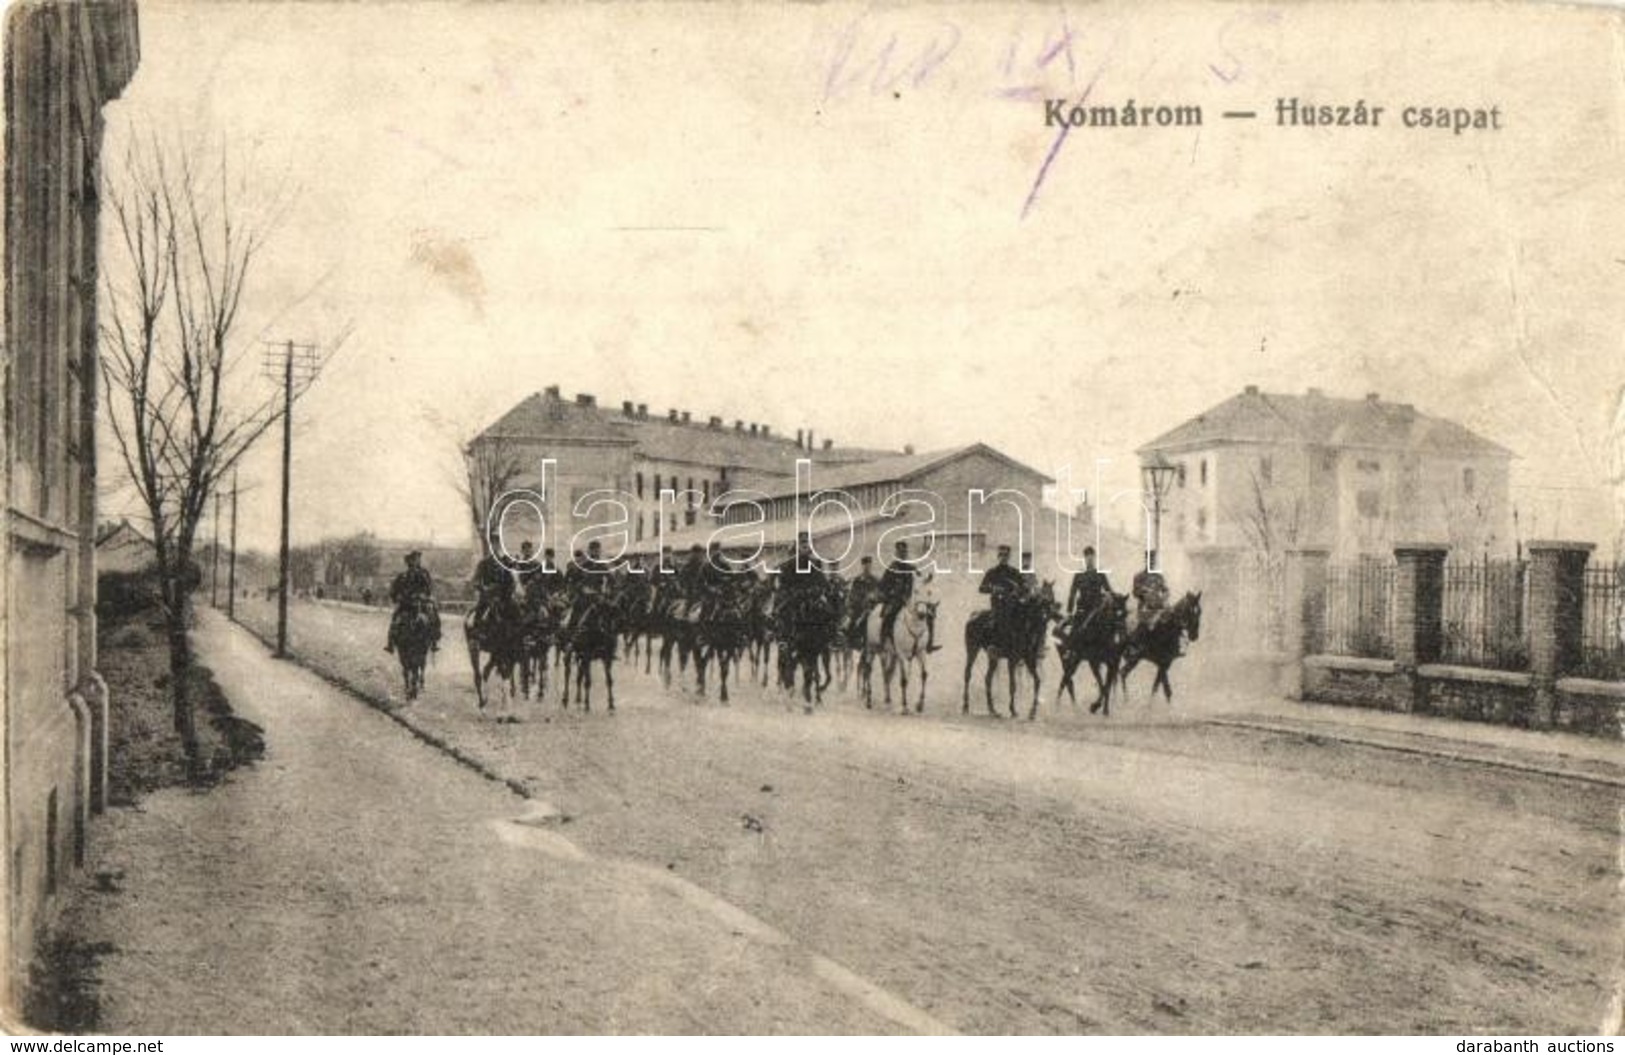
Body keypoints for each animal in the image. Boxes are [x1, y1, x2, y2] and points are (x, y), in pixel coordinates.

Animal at [864, 572, 942, 712]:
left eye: (929, 592)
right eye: (916, 591)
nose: (922, 614)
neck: (915, 626)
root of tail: (873, 610)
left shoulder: (920, 652)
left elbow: (924, 674)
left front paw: (919, 704)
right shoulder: (902, 654)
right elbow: (904, 679)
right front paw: (905, 706)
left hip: (889, 653)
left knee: (887, 672)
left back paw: (888, 700)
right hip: (872, 648)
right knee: (869, 670)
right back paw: (869, 701)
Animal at [962, 578, 1066, 718]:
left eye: (1052, 599)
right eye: (1043, 600)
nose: (1058, 616)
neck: (1026, 629)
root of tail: (972, 617)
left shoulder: (1029, 660)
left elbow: (1037, 681)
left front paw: (1032, 712)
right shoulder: (1012, 660)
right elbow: (1013, 685)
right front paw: (1013, 710)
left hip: (993, 658)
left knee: (988, 678)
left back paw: (992, 710)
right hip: (972, 649)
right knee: (968, 674)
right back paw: (966, 706)